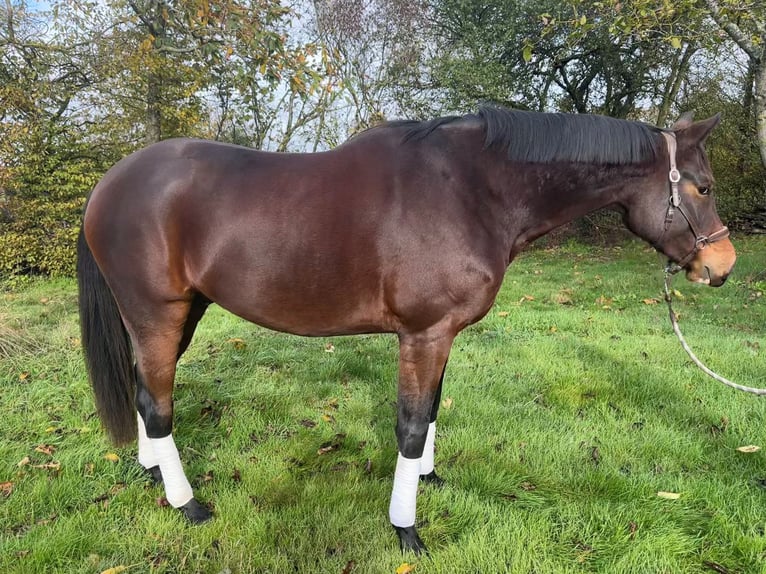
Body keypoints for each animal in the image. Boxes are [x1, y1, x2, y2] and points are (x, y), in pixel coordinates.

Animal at [76, 105, 736, 554]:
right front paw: (406, 528)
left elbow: (435, 408)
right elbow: (413, 424)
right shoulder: (424, 333)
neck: (471, 189)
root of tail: (109, 183)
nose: (722, 267)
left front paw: (431, 480)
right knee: (156, 400)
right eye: (702, 186)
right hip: (157, 312)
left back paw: (152, 472)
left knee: (145, 387)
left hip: (183, 311)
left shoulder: (442, 335)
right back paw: (187, 504)